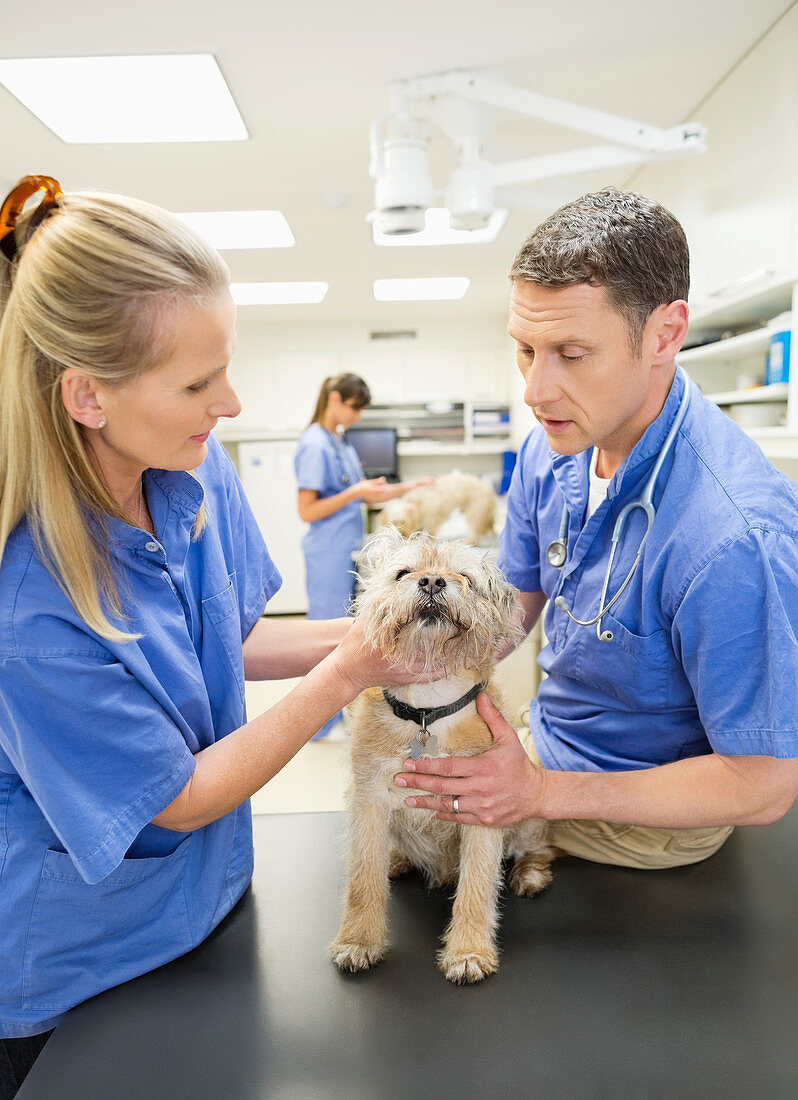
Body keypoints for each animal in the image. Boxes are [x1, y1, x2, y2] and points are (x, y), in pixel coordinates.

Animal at [330, 528, 554, 985]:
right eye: (403, 573)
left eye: (464, 577)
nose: (432, 581)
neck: (426, 711)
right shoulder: (368, 804)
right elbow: (362, 881)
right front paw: (359, 941)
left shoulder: (484, 807)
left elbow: (476, 886)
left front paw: (468, 951)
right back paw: (397, 859)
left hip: (528, 817)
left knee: (540, 848)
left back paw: (529, 873)